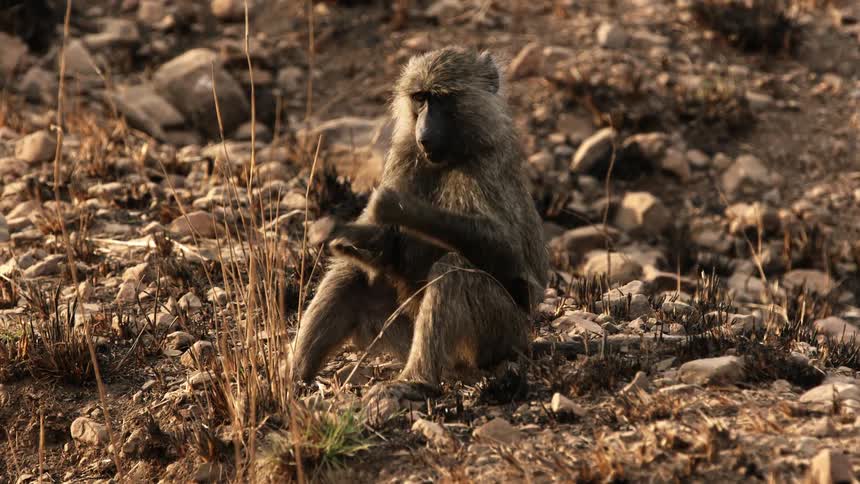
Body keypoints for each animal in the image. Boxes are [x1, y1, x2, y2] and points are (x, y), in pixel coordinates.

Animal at [291, 46, 550, 408]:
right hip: (398, 332)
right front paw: (355, 235)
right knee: (349, 274)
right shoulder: (404, 153)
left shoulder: (486, 165)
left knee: (453, 271)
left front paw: (394, 206)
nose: (424, 134)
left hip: (502, 337)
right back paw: (291, 378)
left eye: (441, 98)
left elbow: (507, 250)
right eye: (419, 98)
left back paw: (415, 381)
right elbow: (378, 254)